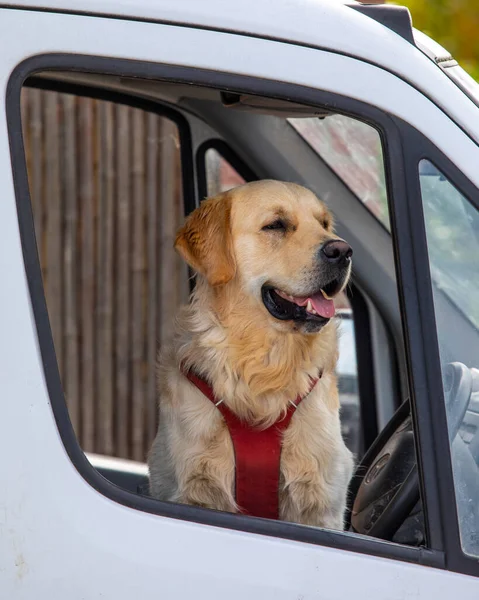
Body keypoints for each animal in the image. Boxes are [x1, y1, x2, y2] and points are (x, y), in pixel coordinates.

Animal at [148, 179, 354, 528]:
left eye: (324, 224)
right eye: (276, 225)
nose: (342, 251)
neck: (265, 362)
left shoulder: (321, 504)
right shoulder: (193, 488)